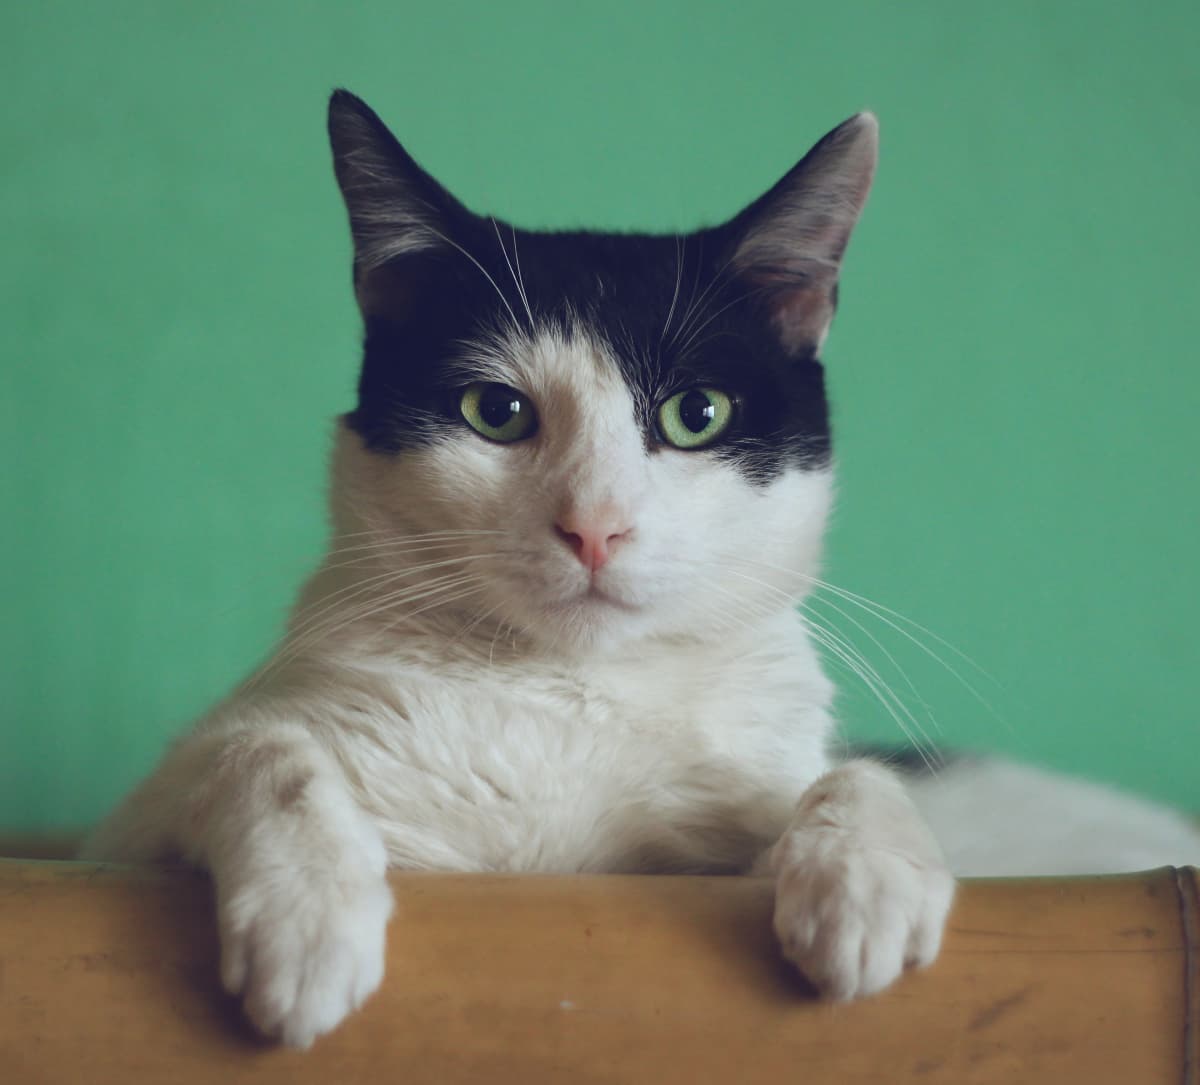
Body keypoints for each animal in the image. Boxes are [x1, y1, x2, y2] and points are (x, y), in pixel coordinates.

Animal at [79, 95, 1195, 1051]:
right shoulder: (116, 839)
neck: (568, 698)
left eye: (695, 414)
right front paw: (310, 923)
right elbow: (258, 749)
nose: (595, 527)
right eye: (496, 412)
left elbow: (845, 773)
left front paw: (865, 881)